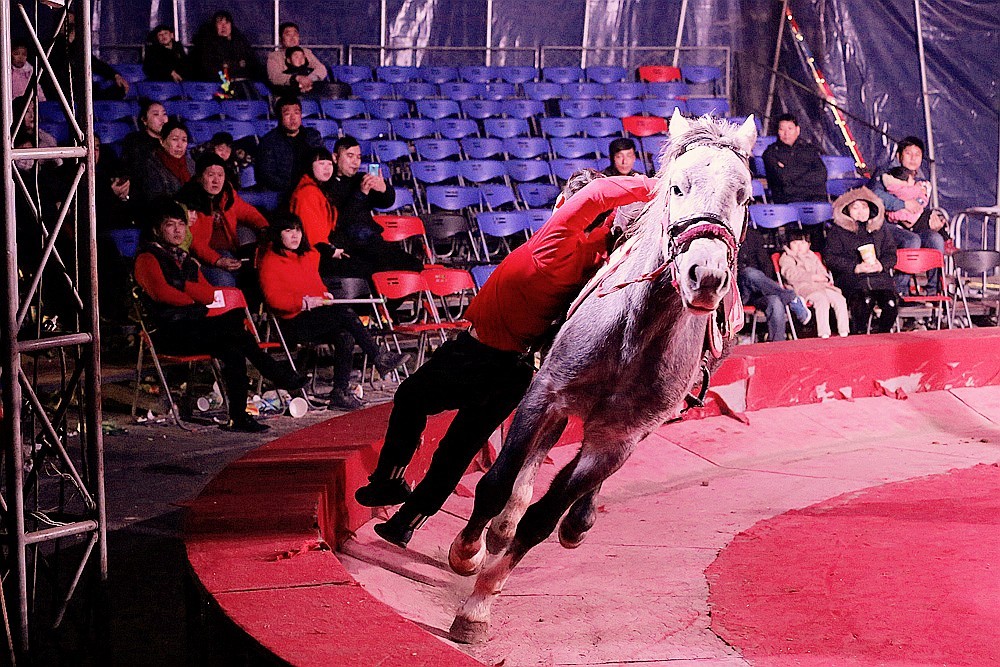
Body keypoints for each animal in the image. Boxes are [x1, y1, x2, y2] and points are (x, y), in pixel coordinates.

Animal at [446, 110, 757, 644]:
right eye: (677, 186)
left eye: (744, 196)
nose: (707, 276)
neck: (636, 331)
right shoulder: (545, 393)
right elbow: (496, 481)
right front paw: (468, 553)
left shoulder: (619, 438)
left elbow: (542, 519)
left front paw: (479, 604)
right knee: (532, 461)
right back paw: (498, 528)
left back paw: (575, 519)